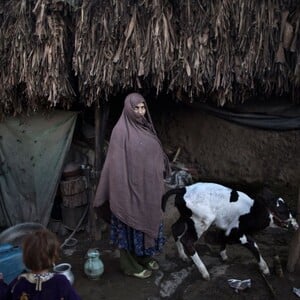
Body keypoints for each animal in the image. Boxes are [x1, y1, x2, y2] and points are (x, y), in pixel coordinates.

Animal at [162, 180, 298, 282]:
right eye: (282, 211)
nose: (294, 220)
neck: (252, 211)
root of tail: (182, 189)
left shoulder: (226, 226)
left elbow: (223, 237)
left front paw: (223, 255)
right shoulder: (237, 232)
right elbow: (254, 245)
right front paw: (264, 268)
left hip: (185, 218)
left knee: (175, 228)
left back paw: (183, 256)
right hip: (202, 221)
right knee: (187, 241)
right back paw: (205, 273)